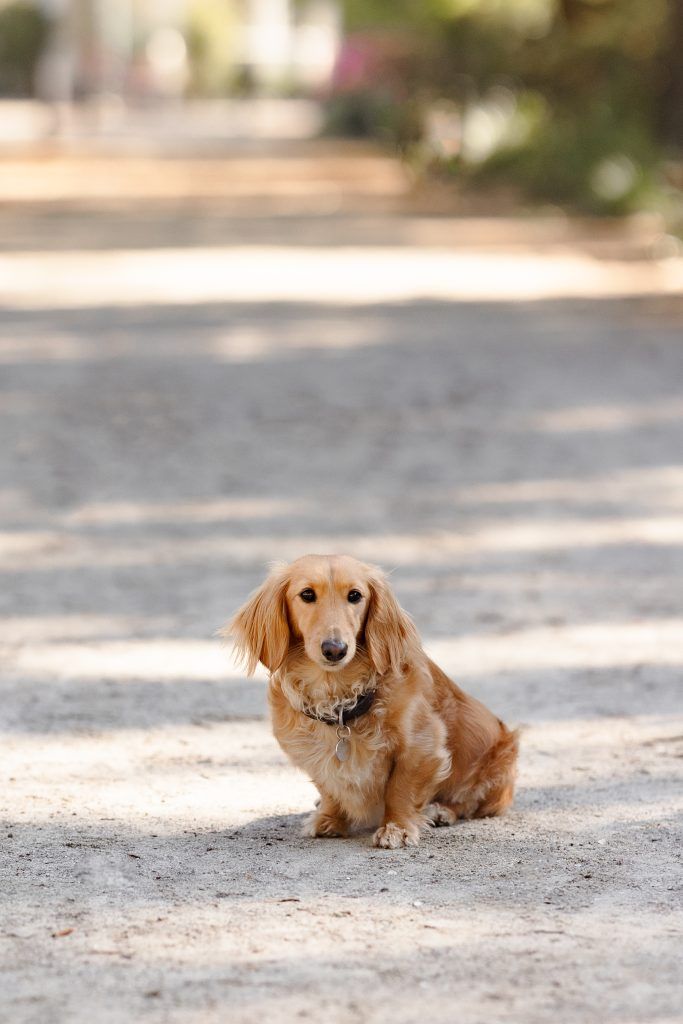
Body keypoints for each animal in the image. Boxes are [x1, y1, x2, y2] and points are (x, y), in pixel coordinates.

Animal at [227, 552, 520, 847]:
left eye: (355, 595)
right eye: (307, 594)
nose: (335, 649)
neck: (340, 698)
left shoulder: (423, 744)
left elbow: (400, 789)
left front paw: (396, 828)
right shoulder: (310, 754)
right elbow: (328, 785)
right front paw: (329, 818)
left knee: (470, 803)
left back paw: (441, 811)